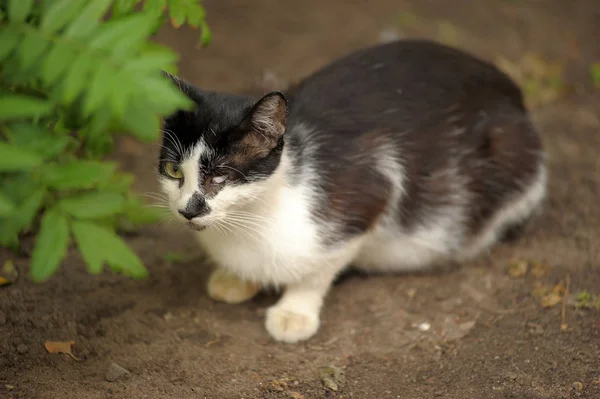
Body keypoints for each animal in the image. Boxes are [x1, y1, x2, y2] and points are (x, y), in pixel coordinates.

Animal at [157, 41, 548, 346]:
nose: (188, 209)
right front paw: (237, 280)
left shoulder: (370, 193)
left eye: (221, 176)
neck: (251, 220)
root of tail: (512, 89)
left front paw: (294, 312)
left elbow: (319, 270)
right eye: (174, 171)